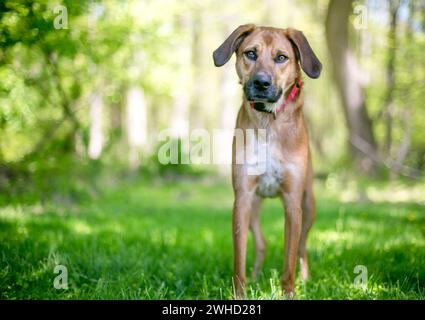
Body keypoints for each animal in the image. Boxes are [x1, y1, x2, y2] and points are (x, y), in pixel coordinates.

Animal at [212, 24, 322, 298]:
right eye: (251, 53)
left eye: (281, 57)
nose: (261, 82)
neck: (269, 122)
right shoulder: (242, 200)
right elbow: (239, 258)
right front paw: (240, 293)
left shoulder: (293, 203)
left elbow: (289, 258)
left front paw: (290, 291)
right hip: (254, 207)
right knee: (261, 244)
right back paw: (255, 277)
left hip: (308, 206)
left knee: (302, 247)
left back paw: (306, 280)